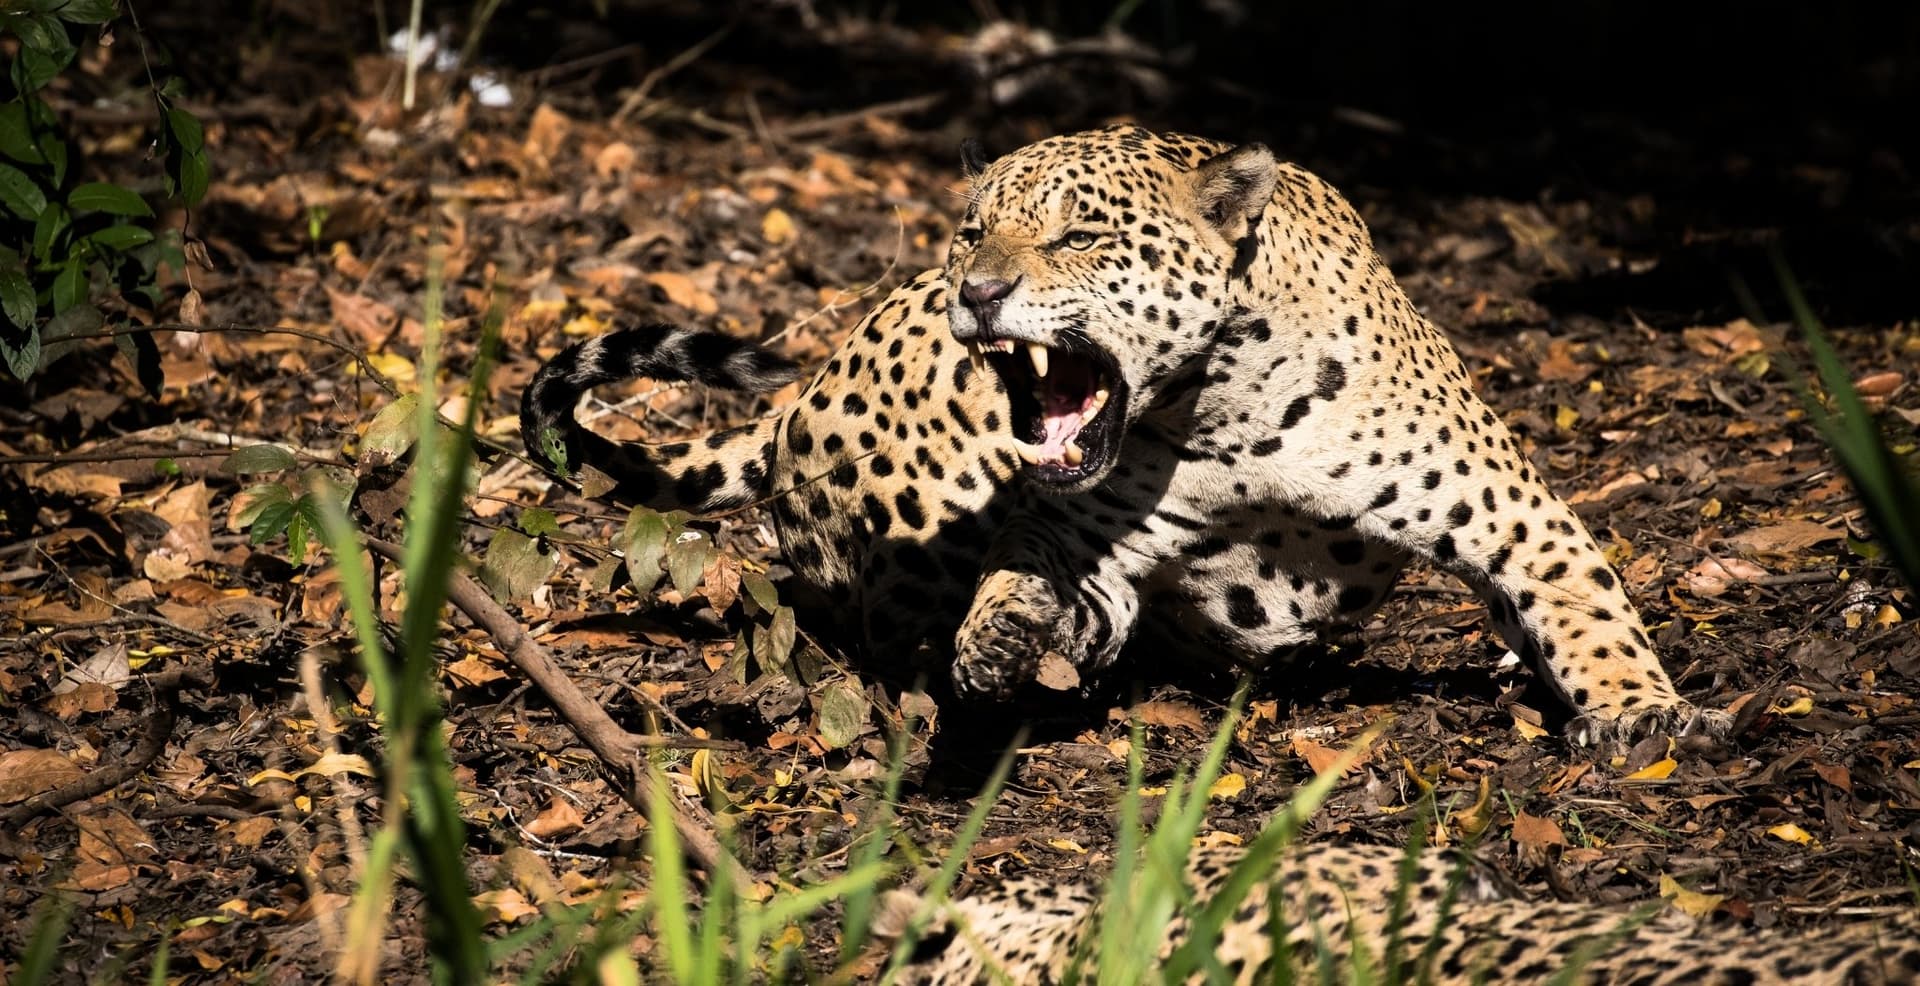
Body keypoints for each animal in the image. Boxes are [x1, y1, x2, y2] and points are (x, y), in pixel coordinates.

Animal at [520, 124, 1728, 741]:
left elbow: (1589, 614)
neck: (1228, 412)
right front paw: (1002, 632)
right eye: (973, 229)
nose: (976, 290)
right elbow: (1029, 571)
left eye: (1080, 235)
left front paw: (1641, 712)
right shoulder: (1087, 546)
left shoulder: (1514, 514)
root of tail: (799, 388)